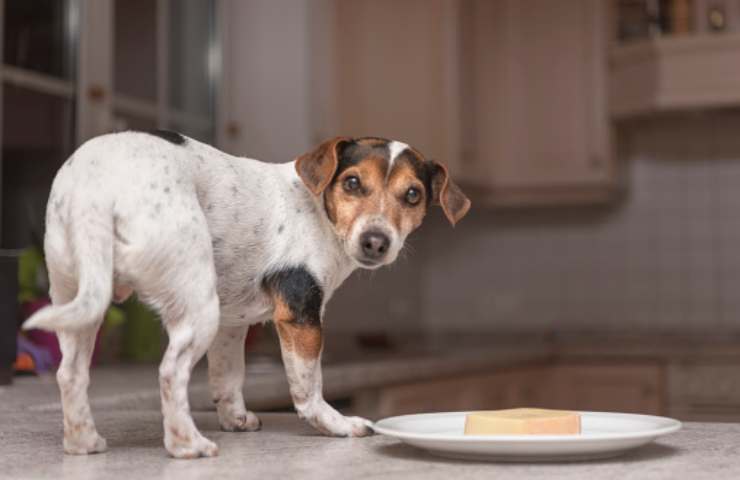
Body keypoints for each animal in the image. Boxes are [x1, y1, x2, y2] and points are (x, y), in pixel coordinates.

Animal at [26, 130, 472, 458]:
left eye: (412, 195)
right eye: (352, 182)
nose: (375, 242)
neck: (318, 211)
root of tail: (99, 190)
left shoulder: (230, 325)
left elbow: (228, 377)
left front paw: (236, 418)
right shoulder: (300, 317)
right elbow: (308, 387)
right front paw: (336, 424)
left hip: (80, 299)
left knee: (71, 373)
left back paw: (83, 442)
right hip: (197, 305)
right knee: (171, 372)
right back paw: (187, 445)